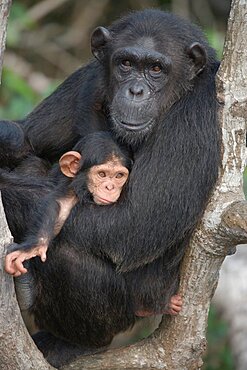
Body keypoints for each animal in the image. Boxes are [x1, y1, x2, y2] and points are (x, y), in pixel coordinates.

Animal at [4, 132, 132, 276]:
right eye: (102, 174)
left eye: (119, 175)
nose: (110, 187)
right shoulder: (71, 192)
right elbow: (61, 206)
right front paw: (33, 247)